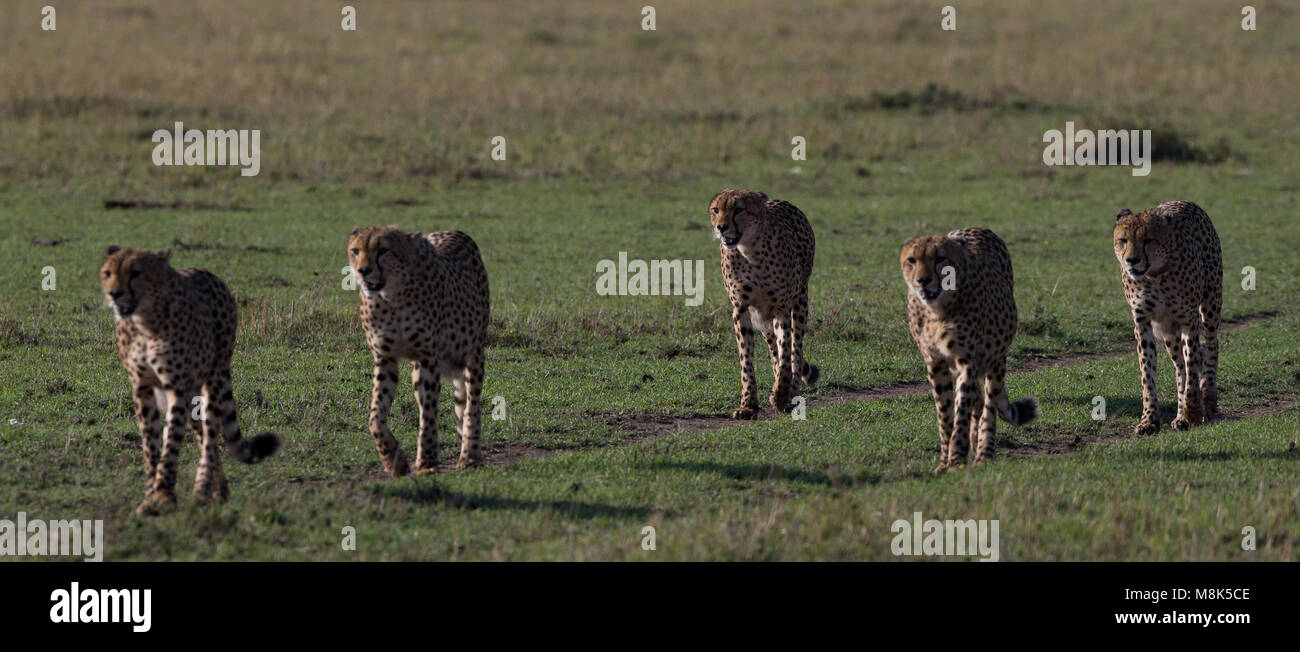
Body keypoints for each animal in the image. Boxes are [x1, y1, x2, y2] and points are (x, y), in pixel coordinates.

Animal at [101, 245, 282, 514]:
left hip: (214, 379)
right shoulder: (143, 388)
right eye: (107, 273)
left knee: (210, 439)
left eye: (136, 273)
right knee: (205, 435)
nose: (114, 294)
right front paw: (150, 495)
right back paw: (219, 492)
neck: (144, 321)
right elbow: (150, 447)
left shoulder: (176, 388)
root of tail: (209, 274)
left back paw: (201, 492)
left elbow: (171, 444)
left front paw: (163, 494)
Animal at [348, 224, 488, 472]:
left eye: (383, 250)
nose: (363, 271)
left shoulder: (428, 358)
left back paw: (470, 455)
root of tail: (456, 231)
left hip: (474, 353)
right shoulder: (385, 358)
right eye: (355, 251)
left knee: (472, 405)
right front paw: (394, 460)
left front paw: (427, 463)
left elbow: (429, 413)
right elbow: (375, 417)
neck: (391, 296)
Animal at [707, 187, 816, 418]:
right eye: (716, 210)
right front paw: (748, 404)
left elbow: (786, 354)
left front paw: (781, 396)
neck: (749, 250)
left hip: (799, 302)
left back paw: (791, 391)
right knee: (774, 347)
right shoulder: (741, 309)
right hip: (763, 316)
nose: (721, 227)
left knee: (796, 348)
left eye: (739, 210)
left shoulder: (780, 308)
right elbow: (747, 359)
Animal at [899, 227, 1040, 470]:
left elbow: (962, 410)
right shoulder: (935, 363)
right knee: (979, 403)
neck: (937, 311)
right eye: (912, 260)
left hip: (995, 362)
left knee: (989, 406)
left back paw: (984, 452)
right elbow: (945, 414)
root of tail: (981, 228)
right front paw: (945, 461)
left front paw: (956, 459)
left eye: (940, 259)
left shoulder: (967, 362)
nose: (923, 281)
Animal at [1112, 201, 1222, 436]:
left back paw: (1207, 398)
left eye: (1148, 240)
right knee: (1179, 366)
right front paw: (1149, 420)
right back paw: (1180, 415)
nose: (1131, 261)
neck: (1154, 275)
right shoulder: (1143, 323)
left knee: (1210, 346)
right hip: (1168, 331)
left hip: (1210, 305)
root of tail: (1185, 202)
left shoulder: (1189, 321)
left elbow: (1192, 369)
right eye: (1123, 240)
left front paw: (1193, 413)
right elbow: (1148, 375)